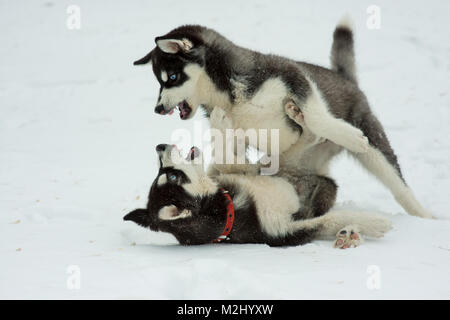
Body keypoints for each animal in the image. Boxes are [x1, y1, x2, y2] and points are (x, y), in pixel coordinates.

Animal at [123, 144, 390, 249]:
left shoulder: (226, 175)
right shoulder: (282, 231)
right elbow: (326, 221)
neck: (229, 206)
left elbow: (226, 163)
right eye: (173, 177)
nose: (159, 147)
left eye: (167, 174)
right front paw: (374, 223)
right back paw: (350, 235)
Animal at [134, 20, 432, 220]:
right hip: (287, 162)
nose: (158, 109)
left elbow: (315, 114)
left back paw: (425, 215)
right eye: (159, 81)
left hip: (373, 144)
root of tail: (345, 78)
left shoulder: (291, 76)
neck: (230, 97)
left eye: (171, 78)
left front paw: (341, 132)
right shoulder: (238, 145)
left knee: (397, 183)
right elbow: (228, 157)